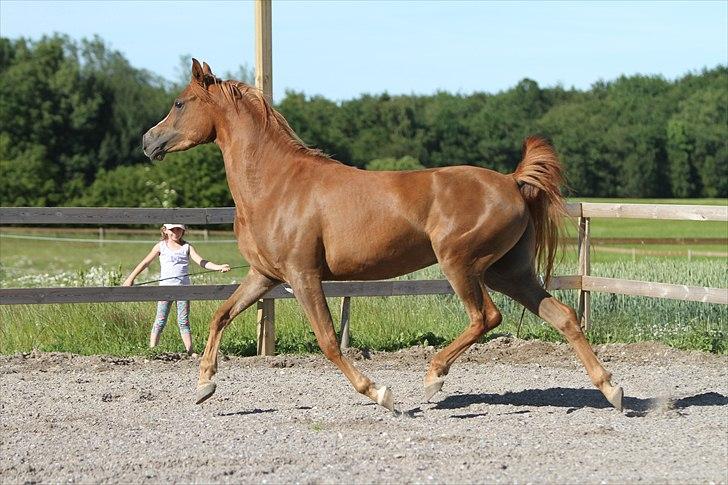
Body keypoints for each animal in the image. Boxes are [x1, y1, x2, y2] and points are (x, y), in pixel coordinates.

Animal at [144, 58, 624, 410]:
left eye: (180, 103)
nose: (148, 141)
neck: (276, 184)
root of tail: (512, 181)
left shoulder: (303, 276)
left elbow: (328, 342)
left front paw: (381, 393)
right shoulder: (265, 276)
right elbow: (220, 315)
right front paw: (204, 386)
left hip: (462, 264)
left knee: (485, 318)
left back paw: (433, 378)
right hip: (508, 271)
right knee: (563, 315)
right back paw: (612, 390)